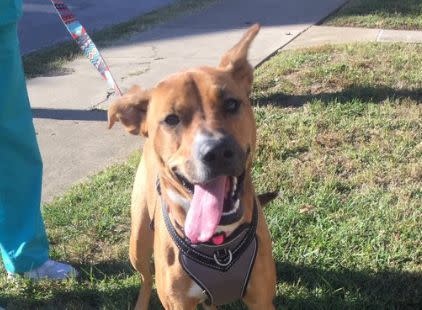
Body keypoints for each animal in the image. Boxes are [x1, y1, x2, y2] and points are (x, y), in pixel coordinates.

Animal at [108, 24, 276, 310]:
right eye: (171, 119)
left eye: (231, 104)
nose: (216, 151)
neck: (220, 246)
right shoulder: (178, 303)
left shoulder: (261, 298)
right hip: (137, 241)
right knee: (144, 276)